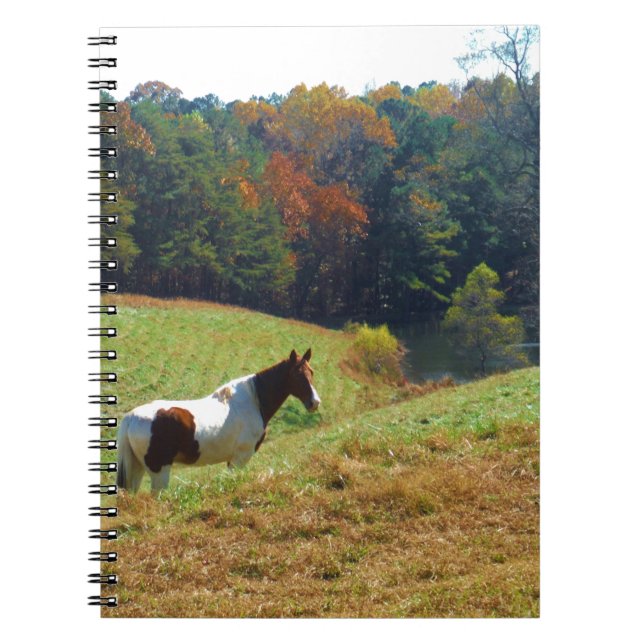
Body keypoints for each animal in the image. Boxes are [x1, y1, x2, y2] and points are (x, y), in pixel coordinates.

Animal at [116, 348, 321, 494]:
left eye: (311, 372)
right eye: (297, 374)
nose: (314, 402)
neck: (253, 401)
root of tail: (131, 417)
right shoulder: (240, 458)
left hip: (137, 468)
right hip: (159, 471)